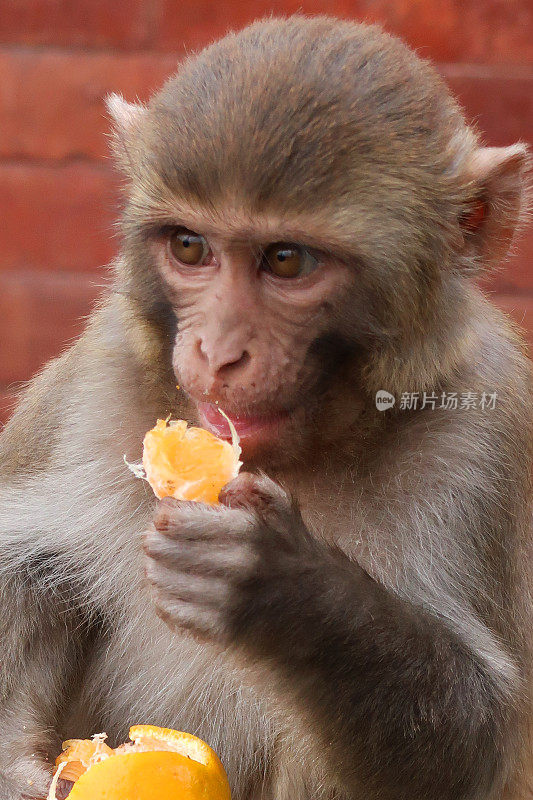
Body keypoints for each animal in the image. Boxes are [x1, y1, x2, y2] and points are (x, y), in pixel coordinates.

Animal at [1, 15, 532, 800]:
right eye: (189, 246)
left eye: (286, 261)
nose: (217, 352)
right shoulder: (96, 379)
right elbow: (28, 569)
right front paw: (16, 767)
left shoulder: (484, 436)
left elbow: (475, 744)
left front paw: (291, 594)